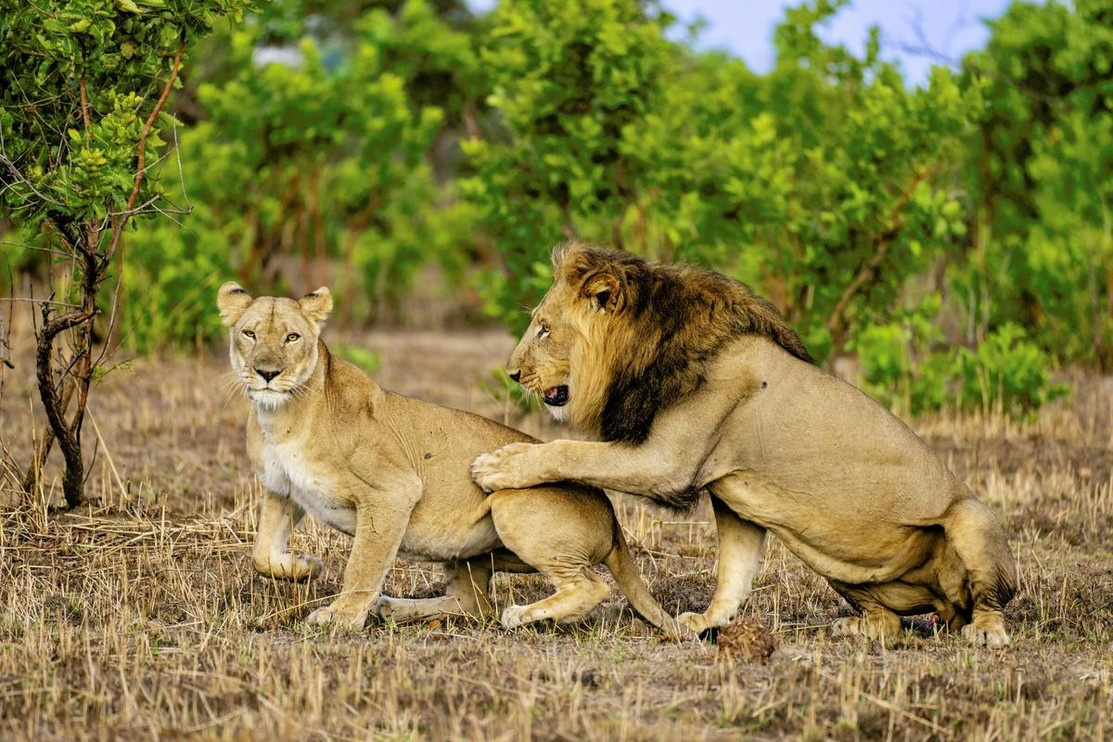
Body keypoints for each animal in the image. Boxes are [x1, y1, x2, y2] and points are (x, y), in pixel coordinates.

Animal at [215, 281, 681, 636]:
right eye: (250, 334)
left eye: (292, 337)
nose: (268, 373)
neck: (282, 417)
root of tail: (612, 516)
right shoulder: (282, 489)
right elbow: (262, 553)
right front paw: (304, 567)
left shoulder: (393, 491)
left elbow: (363, 564)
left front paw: (341, 617)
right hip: (468, 553)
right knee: (473, 604)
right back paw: (394, 607)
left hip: (509, 501)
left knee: (590, 588)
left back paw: (520, 616)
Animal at [469, 243, 1019, 645]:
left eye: (544, 329)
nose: (512, 374)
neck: (646, 346)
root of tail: (946, 608)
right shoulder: (734, 497)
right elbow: (733, 571)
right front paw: (707, 623)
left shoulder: (666, 463)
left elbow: (568, 450)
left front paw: (500, 465)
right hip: (841, 563)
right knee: (890, 623)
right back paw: (856, 626)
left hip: (972, 520)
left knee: (988, 601)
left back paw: (986, 633)